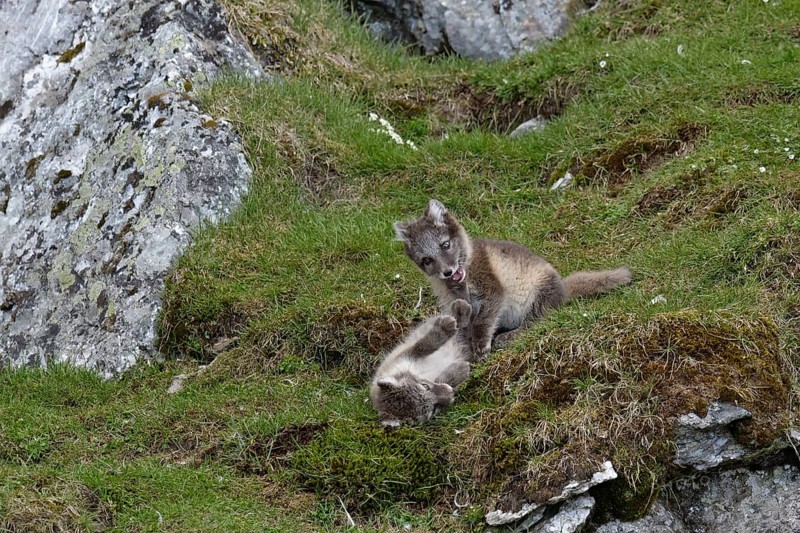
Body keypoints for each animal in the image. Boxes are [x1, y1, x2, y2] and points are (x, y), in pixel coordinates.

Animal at [393, 199, 632, 359]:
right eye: (426, 260)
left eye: (445, 245)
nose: (447, 272)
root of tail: (562, 289)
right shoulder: (455, 303)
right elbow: (466, 325)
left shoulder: (491, 289)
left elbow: (483, 321)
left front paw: (481, 347)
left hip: (538, 293)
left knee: (539, 320)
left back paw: (507, 337)